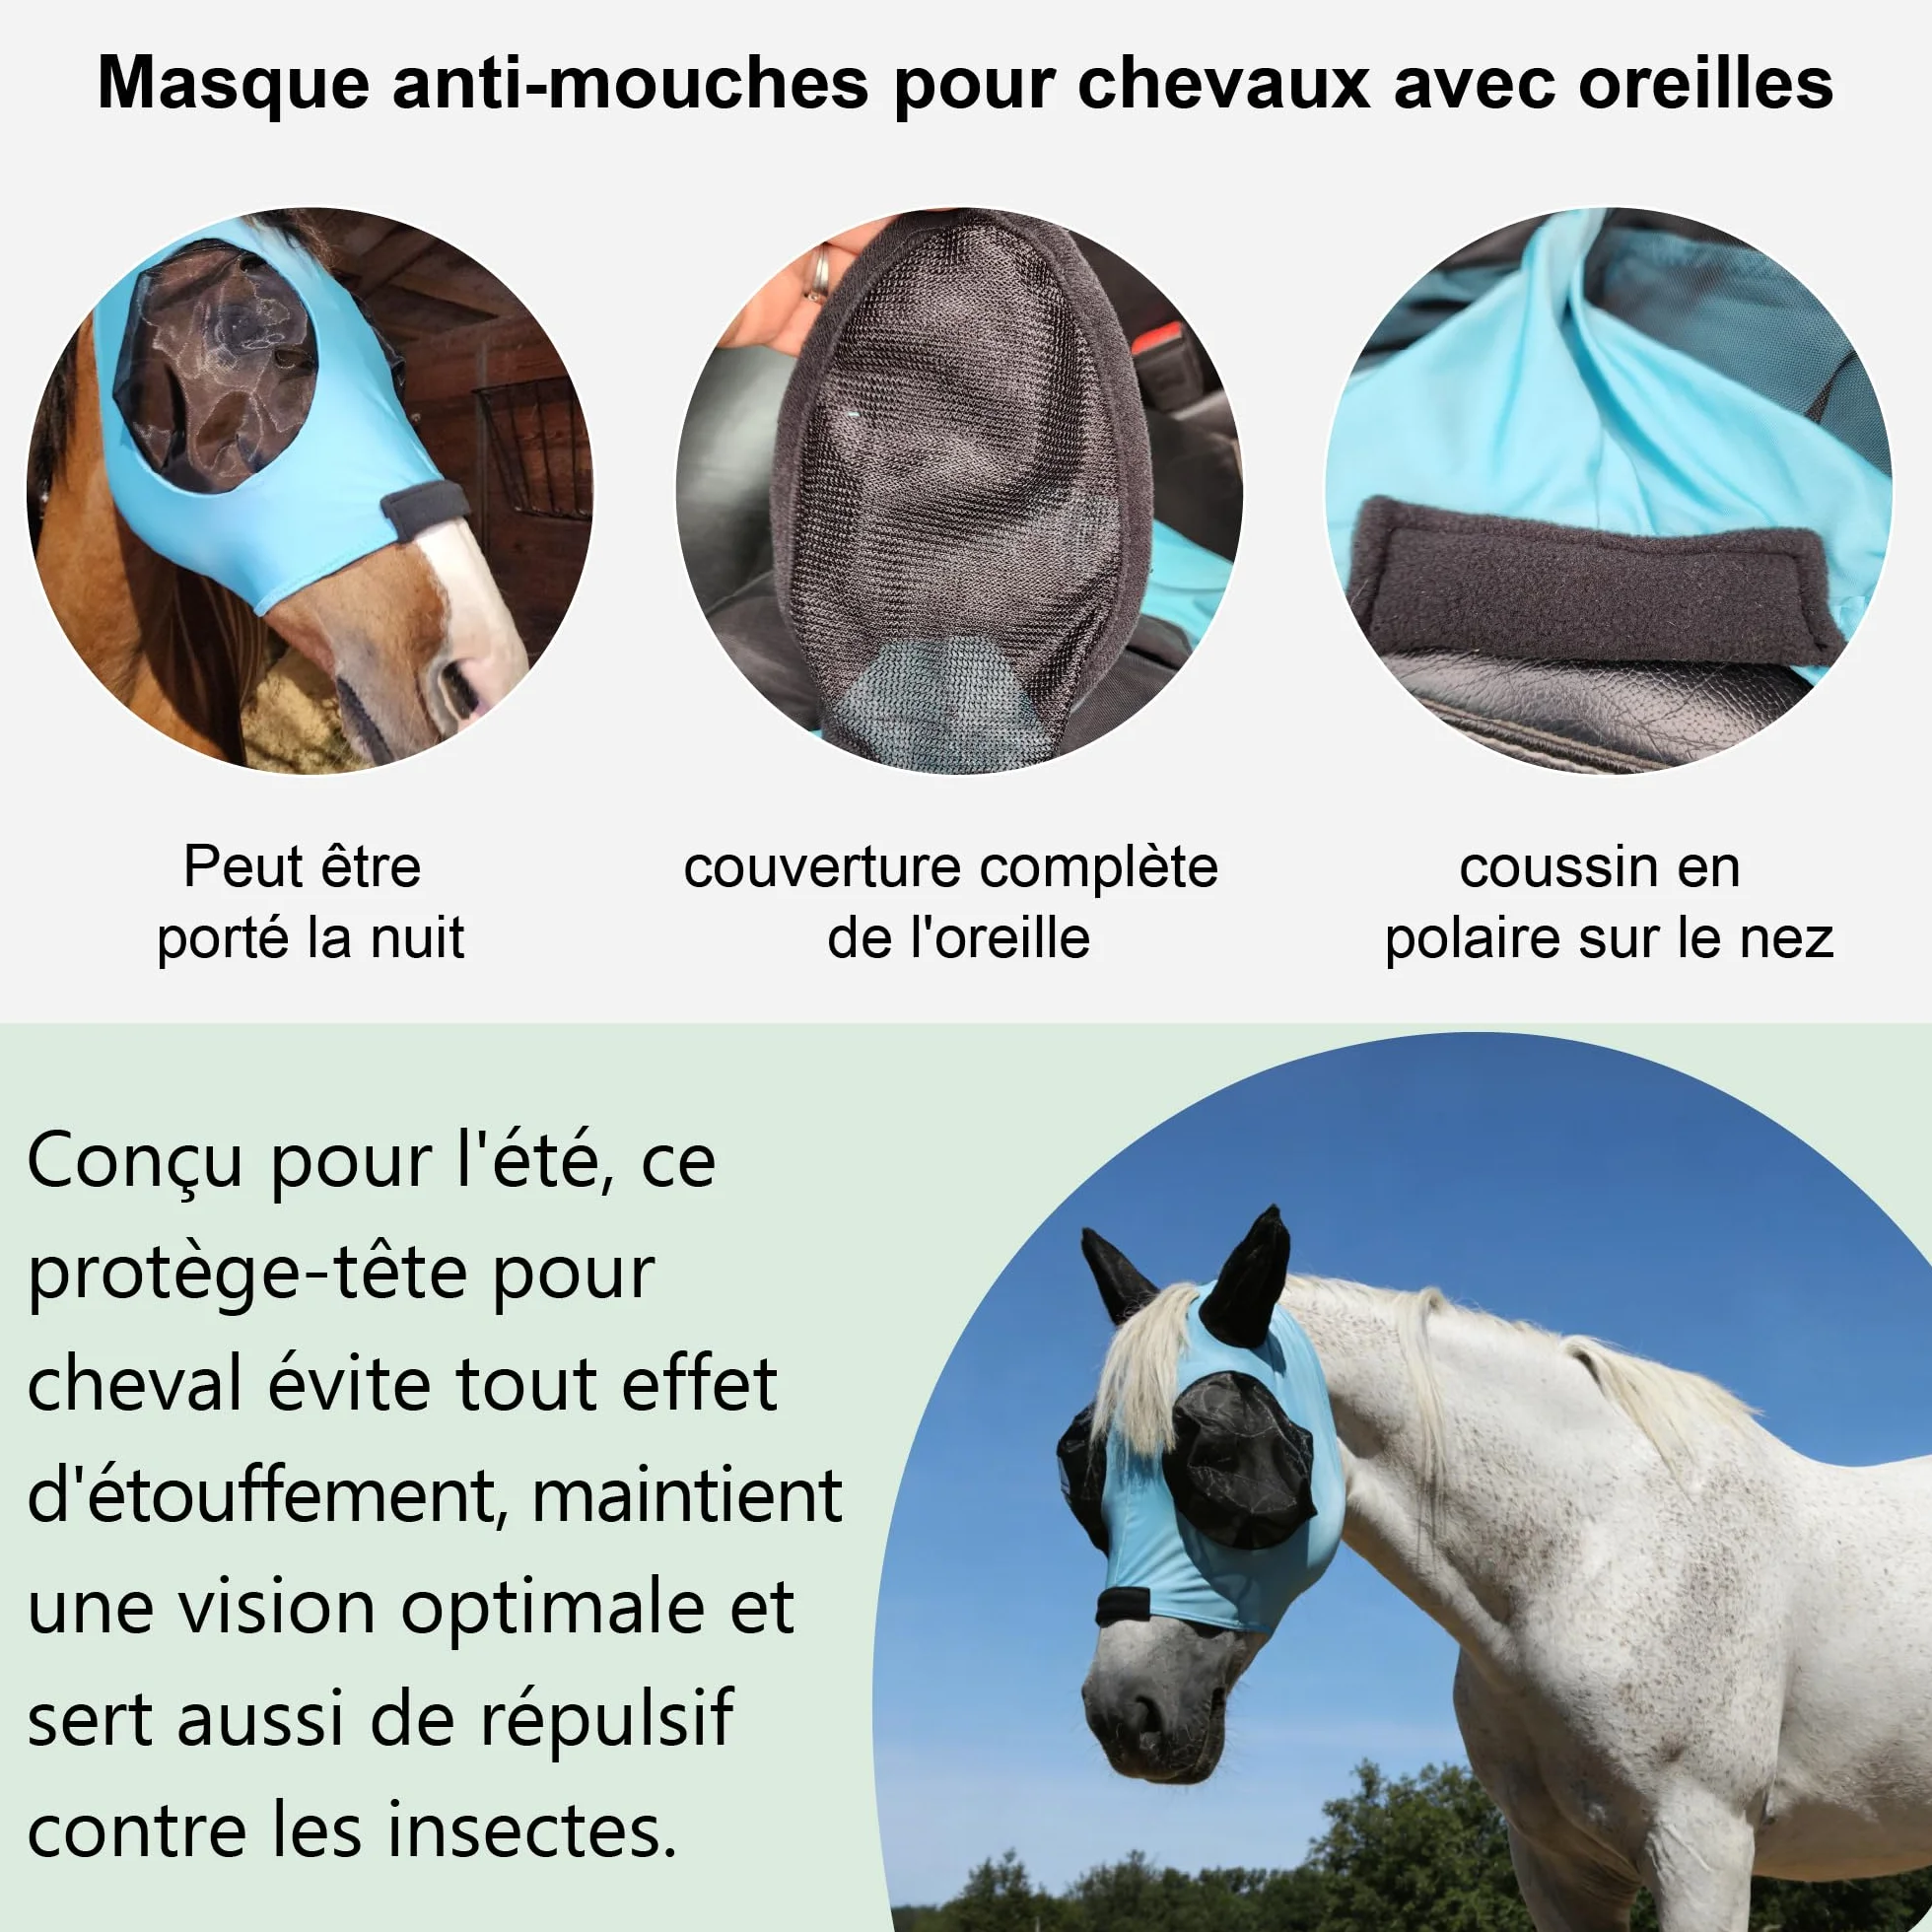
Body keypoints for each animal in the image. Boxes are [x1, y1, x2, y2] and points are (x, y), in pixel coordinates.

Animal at [1071, 1208, 1932, 1932]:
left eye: (1220, 1454)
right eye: (1079, 1466)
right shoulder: (1556, 1867)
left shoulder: (1702, 1849)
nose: (1126, 1712)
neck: (1587, 1555)